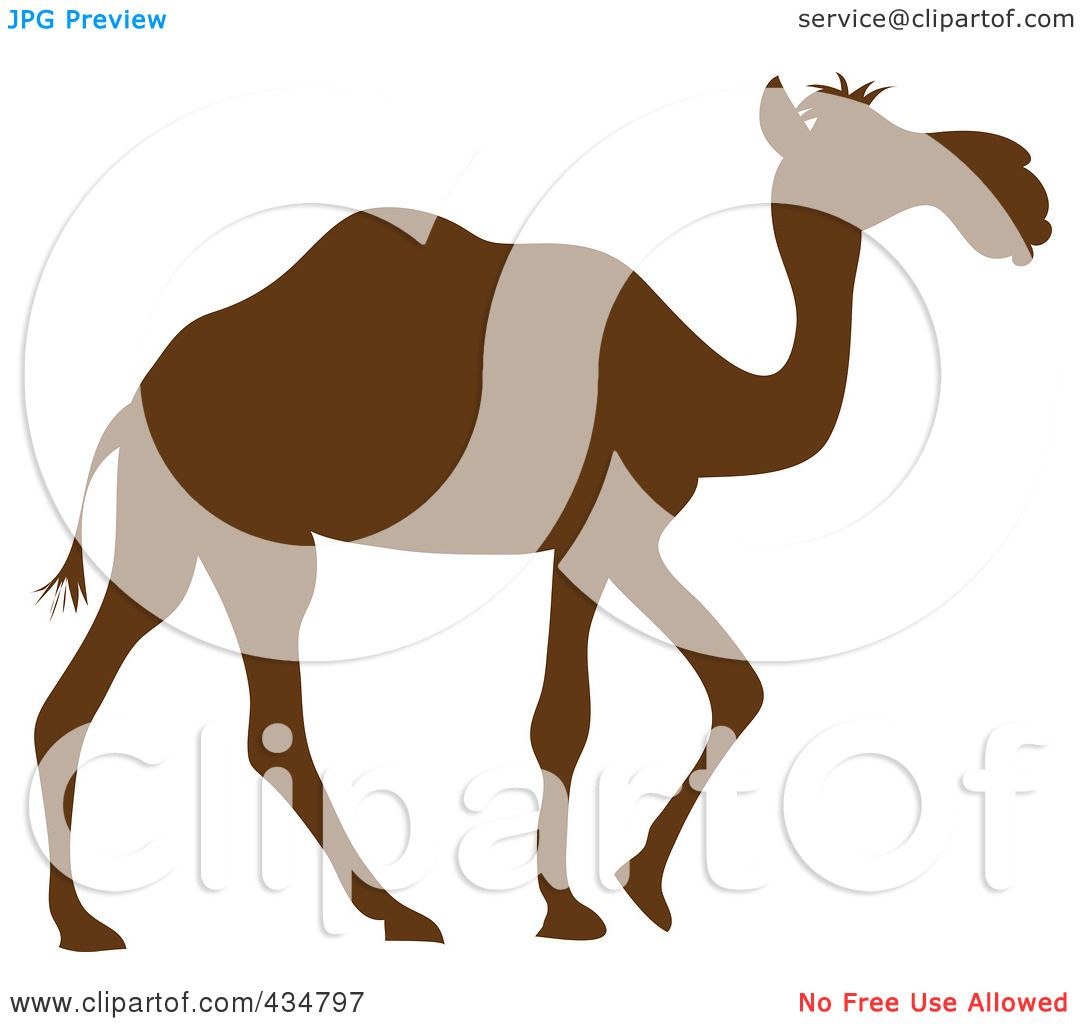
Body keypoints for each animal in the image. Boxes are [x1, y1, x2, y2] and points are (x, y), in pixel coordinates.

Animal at [34, 75, 1050, 950]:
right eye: (868, 141)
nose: (1024, 184)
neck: (700, 394)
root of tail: (135, 404)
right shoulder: (604, 530)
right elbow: (574, 714)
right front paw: (575, 906)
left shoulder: (612, 536)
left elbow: (727, 687)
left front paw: (636, 887)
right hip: (261, 538)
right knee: (263, 727)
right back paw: (386, 913)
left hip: (181, 540)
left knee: (89, 707)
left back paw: (92, 924)